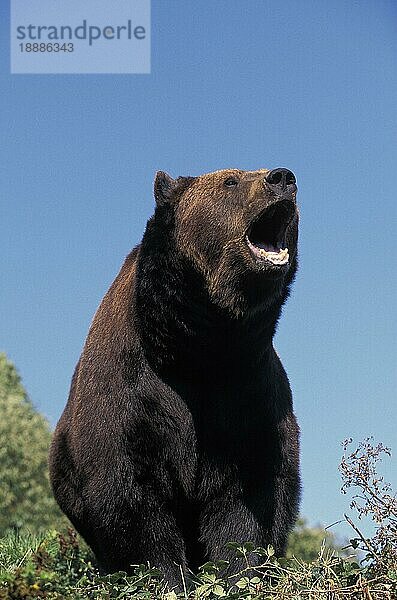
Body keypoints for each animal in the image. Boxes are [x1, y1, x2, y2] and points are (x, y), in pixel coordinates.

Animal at [48, 166, 298, 588]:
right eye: (231, 181)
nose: (282, 178)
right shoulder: (135, 394)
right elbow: (130, 491)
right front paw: (163, 574)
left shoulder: (248, 394)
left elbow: (253, 495)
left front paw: (237, 572)